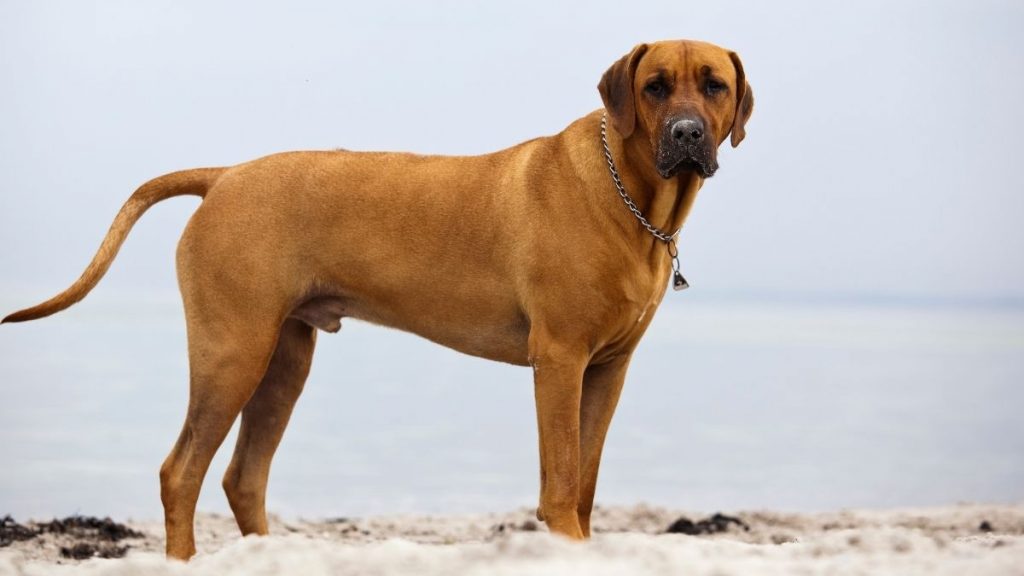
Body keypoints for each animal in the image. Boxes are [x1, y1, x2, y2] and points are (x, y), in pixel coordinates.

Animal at [0, 39, 753, 557]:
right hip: (232, 350)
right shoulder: (561, 361)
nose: (687, 135)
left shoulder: (607, 369)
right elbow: (563, 478)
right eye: (655, 87)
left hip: (285, 358)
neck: (631, 194)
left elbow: (589, 477)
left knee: (244, 477)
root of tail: (224, 175)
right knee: (180, 471)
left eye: (714, 85)